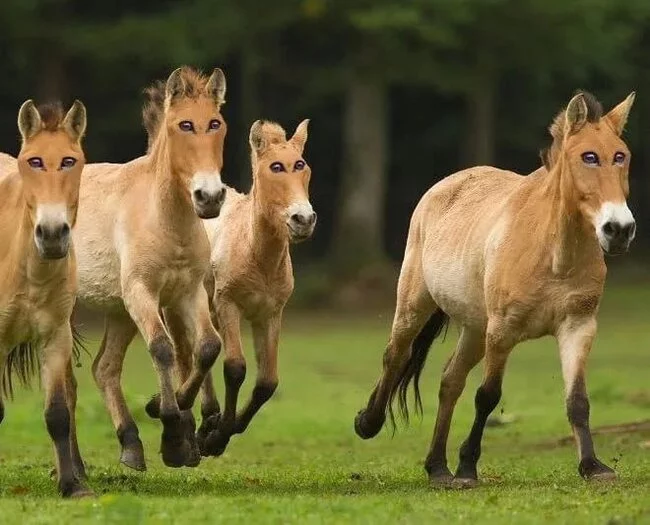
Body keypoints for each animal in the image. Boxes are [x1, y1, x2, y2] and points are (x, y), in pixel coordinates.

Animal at [71, 66, 225, 470]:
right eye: (183, 124)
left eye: (216, 123)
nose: (210, 196)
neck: (165, 218)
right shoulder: (142, 292)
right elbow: (162, 348)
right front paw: (171, 429)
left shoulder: (187, 292)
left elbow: (207, 347)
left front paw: (174, 414)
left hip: (118, 312)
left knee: (104, 368)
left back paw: (130, 445)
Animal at [196, 118, 316, 454]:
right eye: (275, 167)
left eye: (301, 165)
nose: (303, 219)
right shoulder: (228, 304)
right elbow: (235, 367)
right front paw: (217, 437)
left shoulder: (270, 314)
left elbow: (267, 383)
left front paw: (225, 427)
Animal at [354, 91, 632, 488]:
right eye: (588, 156)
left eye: (621, 155)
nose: (619, 229)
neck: (553, 253)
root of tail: (444, 185)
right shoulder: (503, 331)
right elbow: (487, 396)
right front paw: (468, 467)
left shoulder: (578, 326)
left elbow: (578, 399)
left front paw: (593, 466)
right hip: (415, 305)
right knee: (396, 355)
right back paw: (369, 423)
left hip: (474, 328)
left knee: (450, 380)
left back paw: (438, 468)